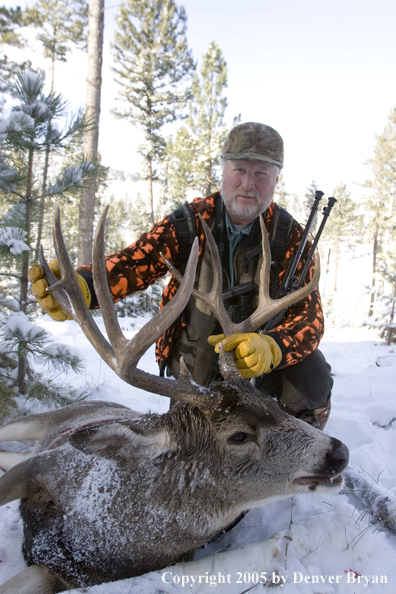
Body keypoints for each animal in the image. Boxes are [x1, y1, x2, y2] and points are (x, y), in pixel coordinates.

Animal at [0, 206, 348, 588]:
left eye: (273, 404)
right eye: (238, 435)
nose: (339, 453)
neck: (101, 529)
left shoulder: (69, 571)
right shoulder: (46, 464)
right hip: (44, 421)